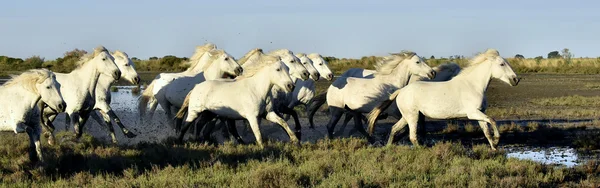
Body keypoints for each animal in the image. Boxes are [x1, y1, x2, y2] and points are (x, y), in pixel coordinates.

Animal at [368, 48, 516, 150]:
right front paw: (497, 140)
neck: (473, 85)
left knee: (394, 129)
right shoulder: (472, 113)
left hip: (407, 116)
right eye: (502, 64)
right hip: (412, 116)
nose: (516, 80)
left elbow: (486, 131)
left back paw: (388, 147)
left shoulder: (479, 113)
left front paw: (494, 147)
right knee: (412, 136)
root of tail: (401, 91)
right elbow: (493, 120)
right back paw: (422, 150)